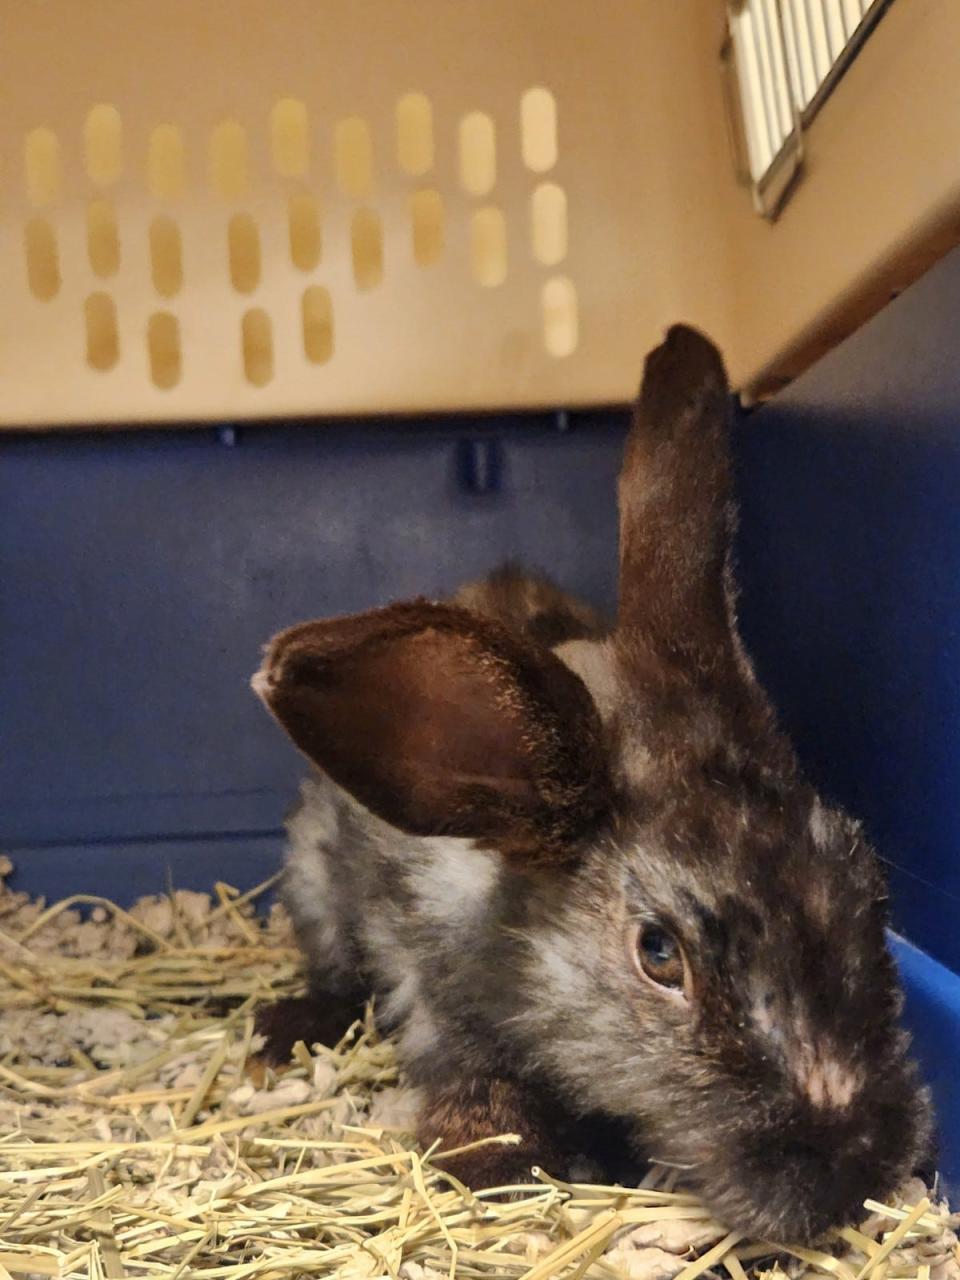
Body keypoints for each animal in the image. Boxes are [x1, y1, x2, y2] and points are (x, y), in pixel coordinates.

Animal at [252, 325, 936, 1244]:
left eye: (866, 885)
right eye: (659, 955)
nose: (858, 1167)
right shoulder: (430, 993)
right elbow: (471, 1081)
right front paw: (497, 1165)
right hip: (313, 877)